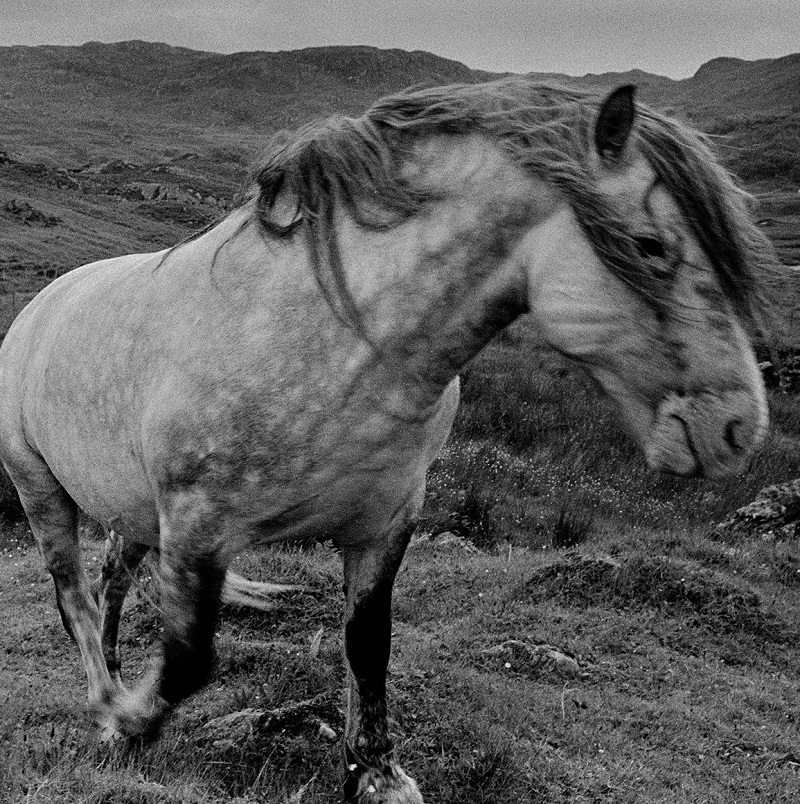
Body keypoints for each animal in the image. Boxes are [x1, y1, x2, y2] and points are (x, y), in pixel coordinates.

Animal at [0, 77, 776, 804]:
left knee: (114, 579)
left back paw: (116, 671)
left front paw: (375, 772)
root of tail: (40, 306)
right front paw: (129, 722)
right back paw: (106, 697)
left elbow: (368, 644)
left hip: (132, 509)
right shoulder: (197, 526)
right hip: (42, 490)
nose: (738, 428)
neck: (334, 344)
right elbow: (191, 658)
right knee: (74, 594)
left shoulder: (382, 526)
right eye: (652, 247)